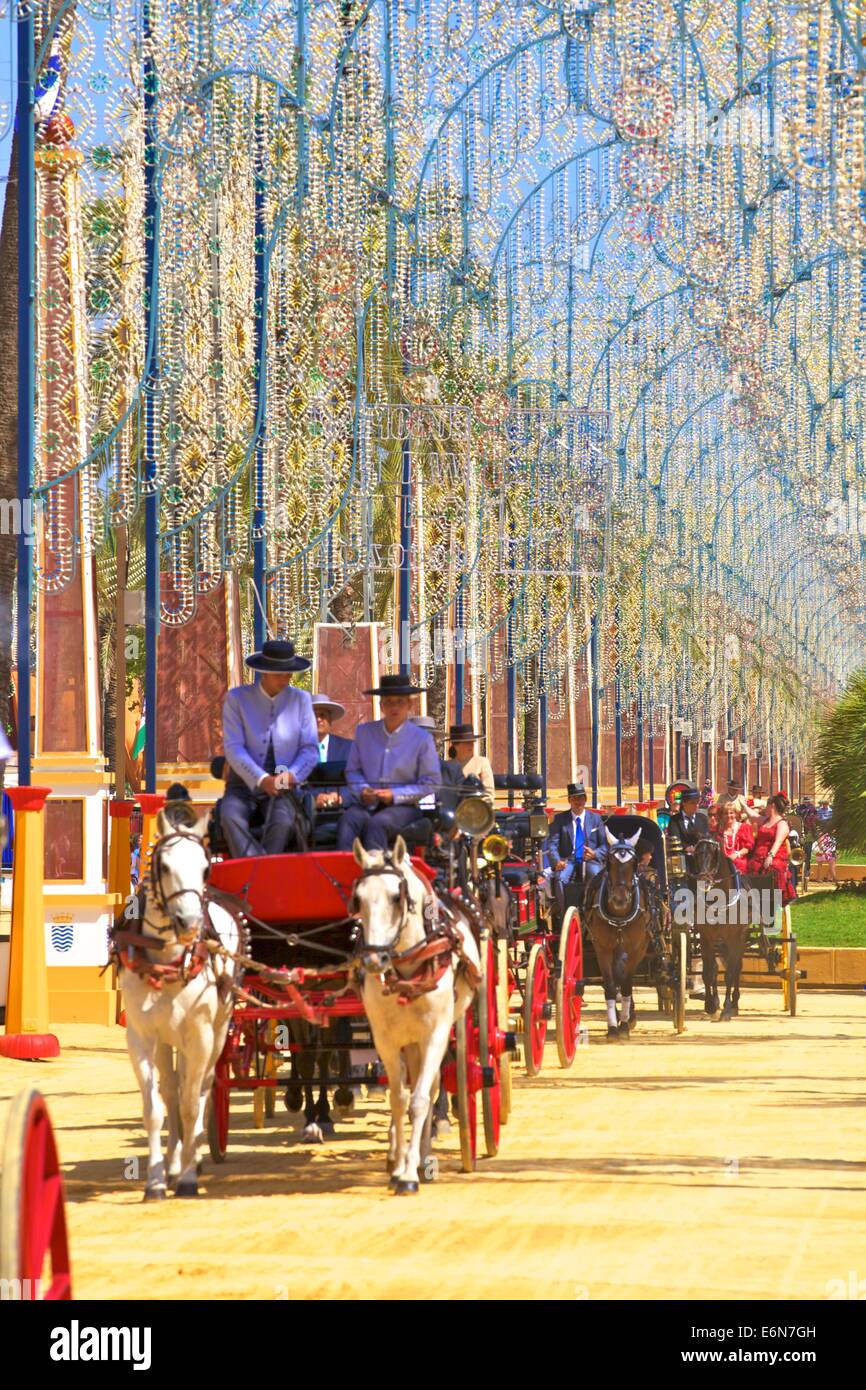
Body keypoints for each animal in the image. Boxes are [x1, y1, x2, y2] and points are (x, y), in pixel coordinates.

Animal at [117, 811, 240, 1200]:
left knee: (200, 1089)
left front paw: (187, 1177)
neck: (168, 959)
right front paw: (157, 1180)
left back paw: (193, 1158)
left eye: (205, 867)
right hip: (168, 1040)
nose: (189, 923)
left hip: (217, 1033)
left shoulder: (200, 1035)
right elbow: (156, 1108)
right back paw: (175, 1161)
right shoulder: (141, 1037)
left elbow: (190, 1104)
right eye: (165, 865)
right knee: (173, 1090)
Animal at [350, 834, 480, 1195]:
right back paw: (398, 1152)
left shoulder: (435, 1033)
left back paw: (422, 1157)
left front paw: (409, 1173)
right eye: (358, 898)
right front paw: (397, 1166)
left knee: (431, 1087)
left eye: (397, 897)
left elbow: (420, 1100)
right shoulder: (385, 1038)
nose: (374, 960)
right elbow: (398, 1097)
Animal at [692, 834, 750, 1023]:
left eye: (713, 854)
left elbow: (730, 973)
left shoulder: (734, 939)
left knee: (737, 967)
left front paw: (726, 1009)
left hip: (740, 940)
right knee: (716, 969)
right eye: (696, 854)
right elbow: (708, 972)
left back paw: (735, 1004)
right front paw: (710, 1004)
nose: (704, 880)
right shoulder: (706, 938)